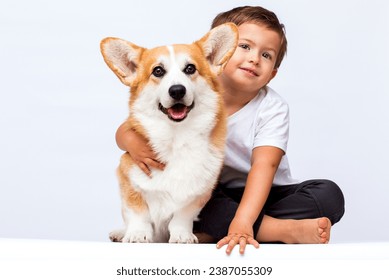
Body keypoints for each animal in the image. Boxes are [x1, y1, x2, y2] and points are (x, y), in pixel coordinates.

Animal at [100, 23, 236, 243]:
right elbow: (137, 213)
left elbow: (182, 216)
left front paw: (182, 235)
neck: (176, 137)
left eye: (190, 69)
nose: (177, 90)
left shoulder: (199, 194)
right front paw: (137, 234)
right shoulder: (128, 179)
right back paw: (121, 233)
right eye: (158, 71)